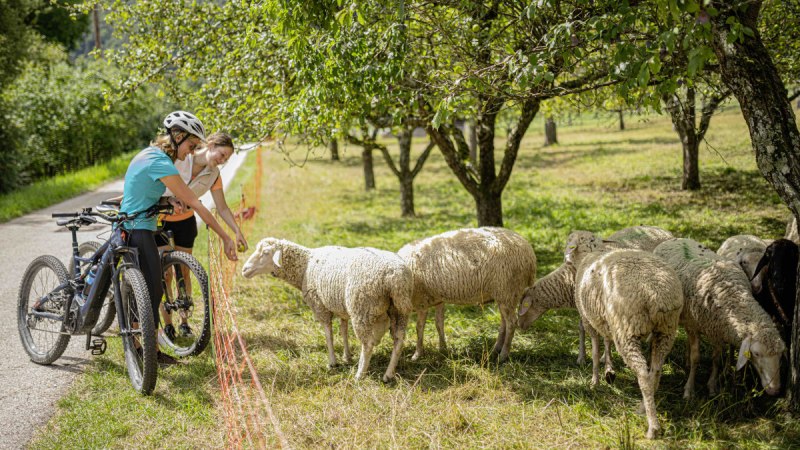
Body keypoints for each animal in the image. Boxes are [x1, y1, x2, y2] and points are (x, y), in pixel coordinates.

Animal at [241, 237, 412, 382]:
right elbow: (343, 330)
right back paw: (388, 374)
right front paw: (347, 356)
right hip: (399, 309)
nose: (244, 270)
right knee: (399, 339)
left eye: (265, 253)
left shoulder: (320, 306)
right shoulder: (341, 306)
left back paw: (359, 374)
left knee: (368, 344)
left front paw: (333, 362)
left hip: (361, 308)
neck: (305, 265)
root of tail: (395, 276)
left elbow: (328, 335)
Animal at [400, 229, 536, 362]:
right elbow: (439, 324)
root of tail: (528, 251)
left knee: (512, 323)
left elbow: (419, 328)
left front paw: (417, 354)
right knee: (504, 323)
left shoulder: (421, 300)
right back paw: (495, 350)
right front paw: (443, 349)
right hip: (504, 294)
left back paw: (503, 355)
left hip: (507, 290)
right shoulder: (438, 299)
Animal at [564, 232, 680, 440]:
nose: (566, 257)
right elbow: (607, 341)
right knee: (655, 371)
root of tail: (655, 293)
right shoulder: (605, 319)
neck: (590, 254)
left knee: (643, 374)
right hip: (666, 330)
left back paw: (653, 427)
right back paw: (644, 407)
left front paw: (594, 381)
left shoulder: (588, 319)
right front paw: (609, 369)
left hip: (627, 330)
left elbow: (595, 351)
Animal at [652, 237, 784, 400]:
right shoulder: (694, 326)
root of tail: (677, 239)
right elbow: (696, 358)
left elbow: (716, 359)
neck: (729, 295)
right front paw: (689, 390)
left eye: (780, 355)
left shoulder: (718, 330)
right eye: (757, 354)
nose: (775, 390)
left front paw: (712, 386)